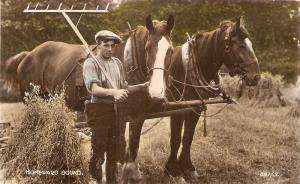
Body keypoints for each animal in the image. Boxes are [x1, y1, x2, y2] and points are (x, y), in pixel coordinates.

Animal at [129, 16, 260, 183]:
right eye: (241, 46)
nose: (256, 77)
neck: (186, 68)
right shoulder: (178, 110)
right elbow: (176, 139)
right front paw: (173, 171)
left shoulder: (195, 109)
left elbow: (188, 138)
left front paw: (188, 168)